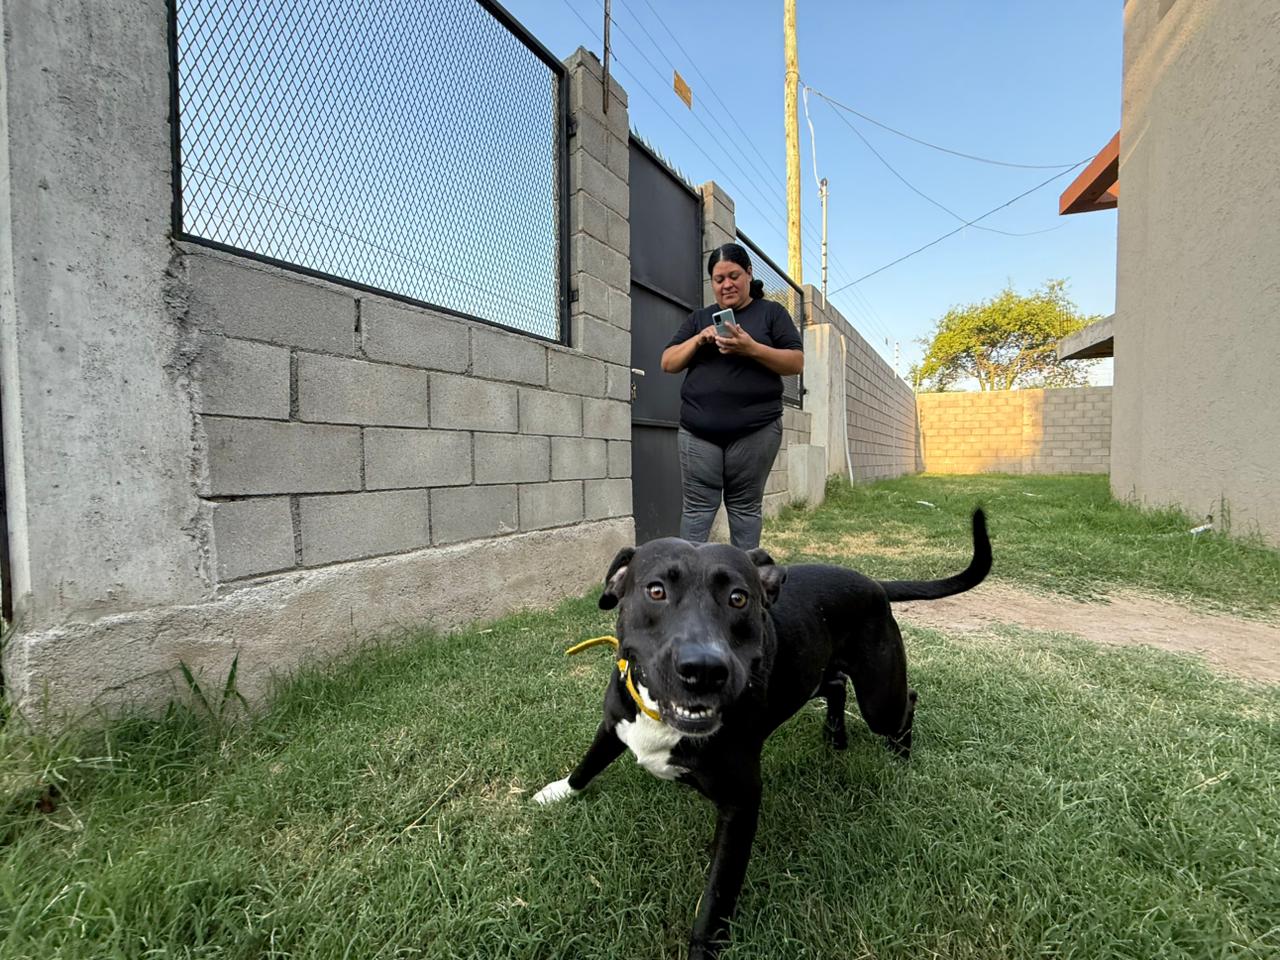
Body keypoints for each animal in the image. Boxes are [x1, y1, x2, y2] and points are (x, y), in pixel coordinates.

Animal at [529, 512, 988, 957]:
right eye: (655, 590)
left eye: (739, 597)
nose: (704, 669)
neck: (662, 718)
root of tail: (874, 583)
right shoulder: (616, 722)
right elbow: (589, 761)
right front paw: (558, 791)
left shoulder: (741, 803)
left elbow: (718, 894)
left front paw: (705, 947)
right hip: (814, 673)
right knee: (836, 683)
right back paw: (835, 735)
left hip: (880, 700)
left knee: (905, 700)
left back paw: (900, 754)